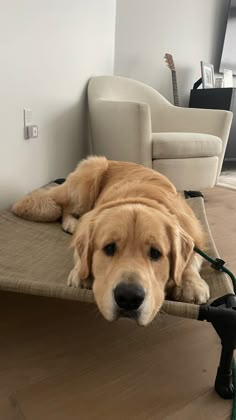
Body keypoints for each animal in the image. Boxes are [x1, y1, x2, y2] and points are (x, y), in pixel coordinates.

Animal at [12, 158, 209, 324]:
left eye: (155, 253)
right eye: (109, 248)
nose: (129, 297)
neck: (142, 198)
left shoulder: (195, 236)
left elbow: (191, 260)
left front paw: (192, 284)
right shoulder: (88, 222)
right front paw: (80, 273)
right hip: (88, 181)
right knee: (65, 209)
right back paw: (71, 223)